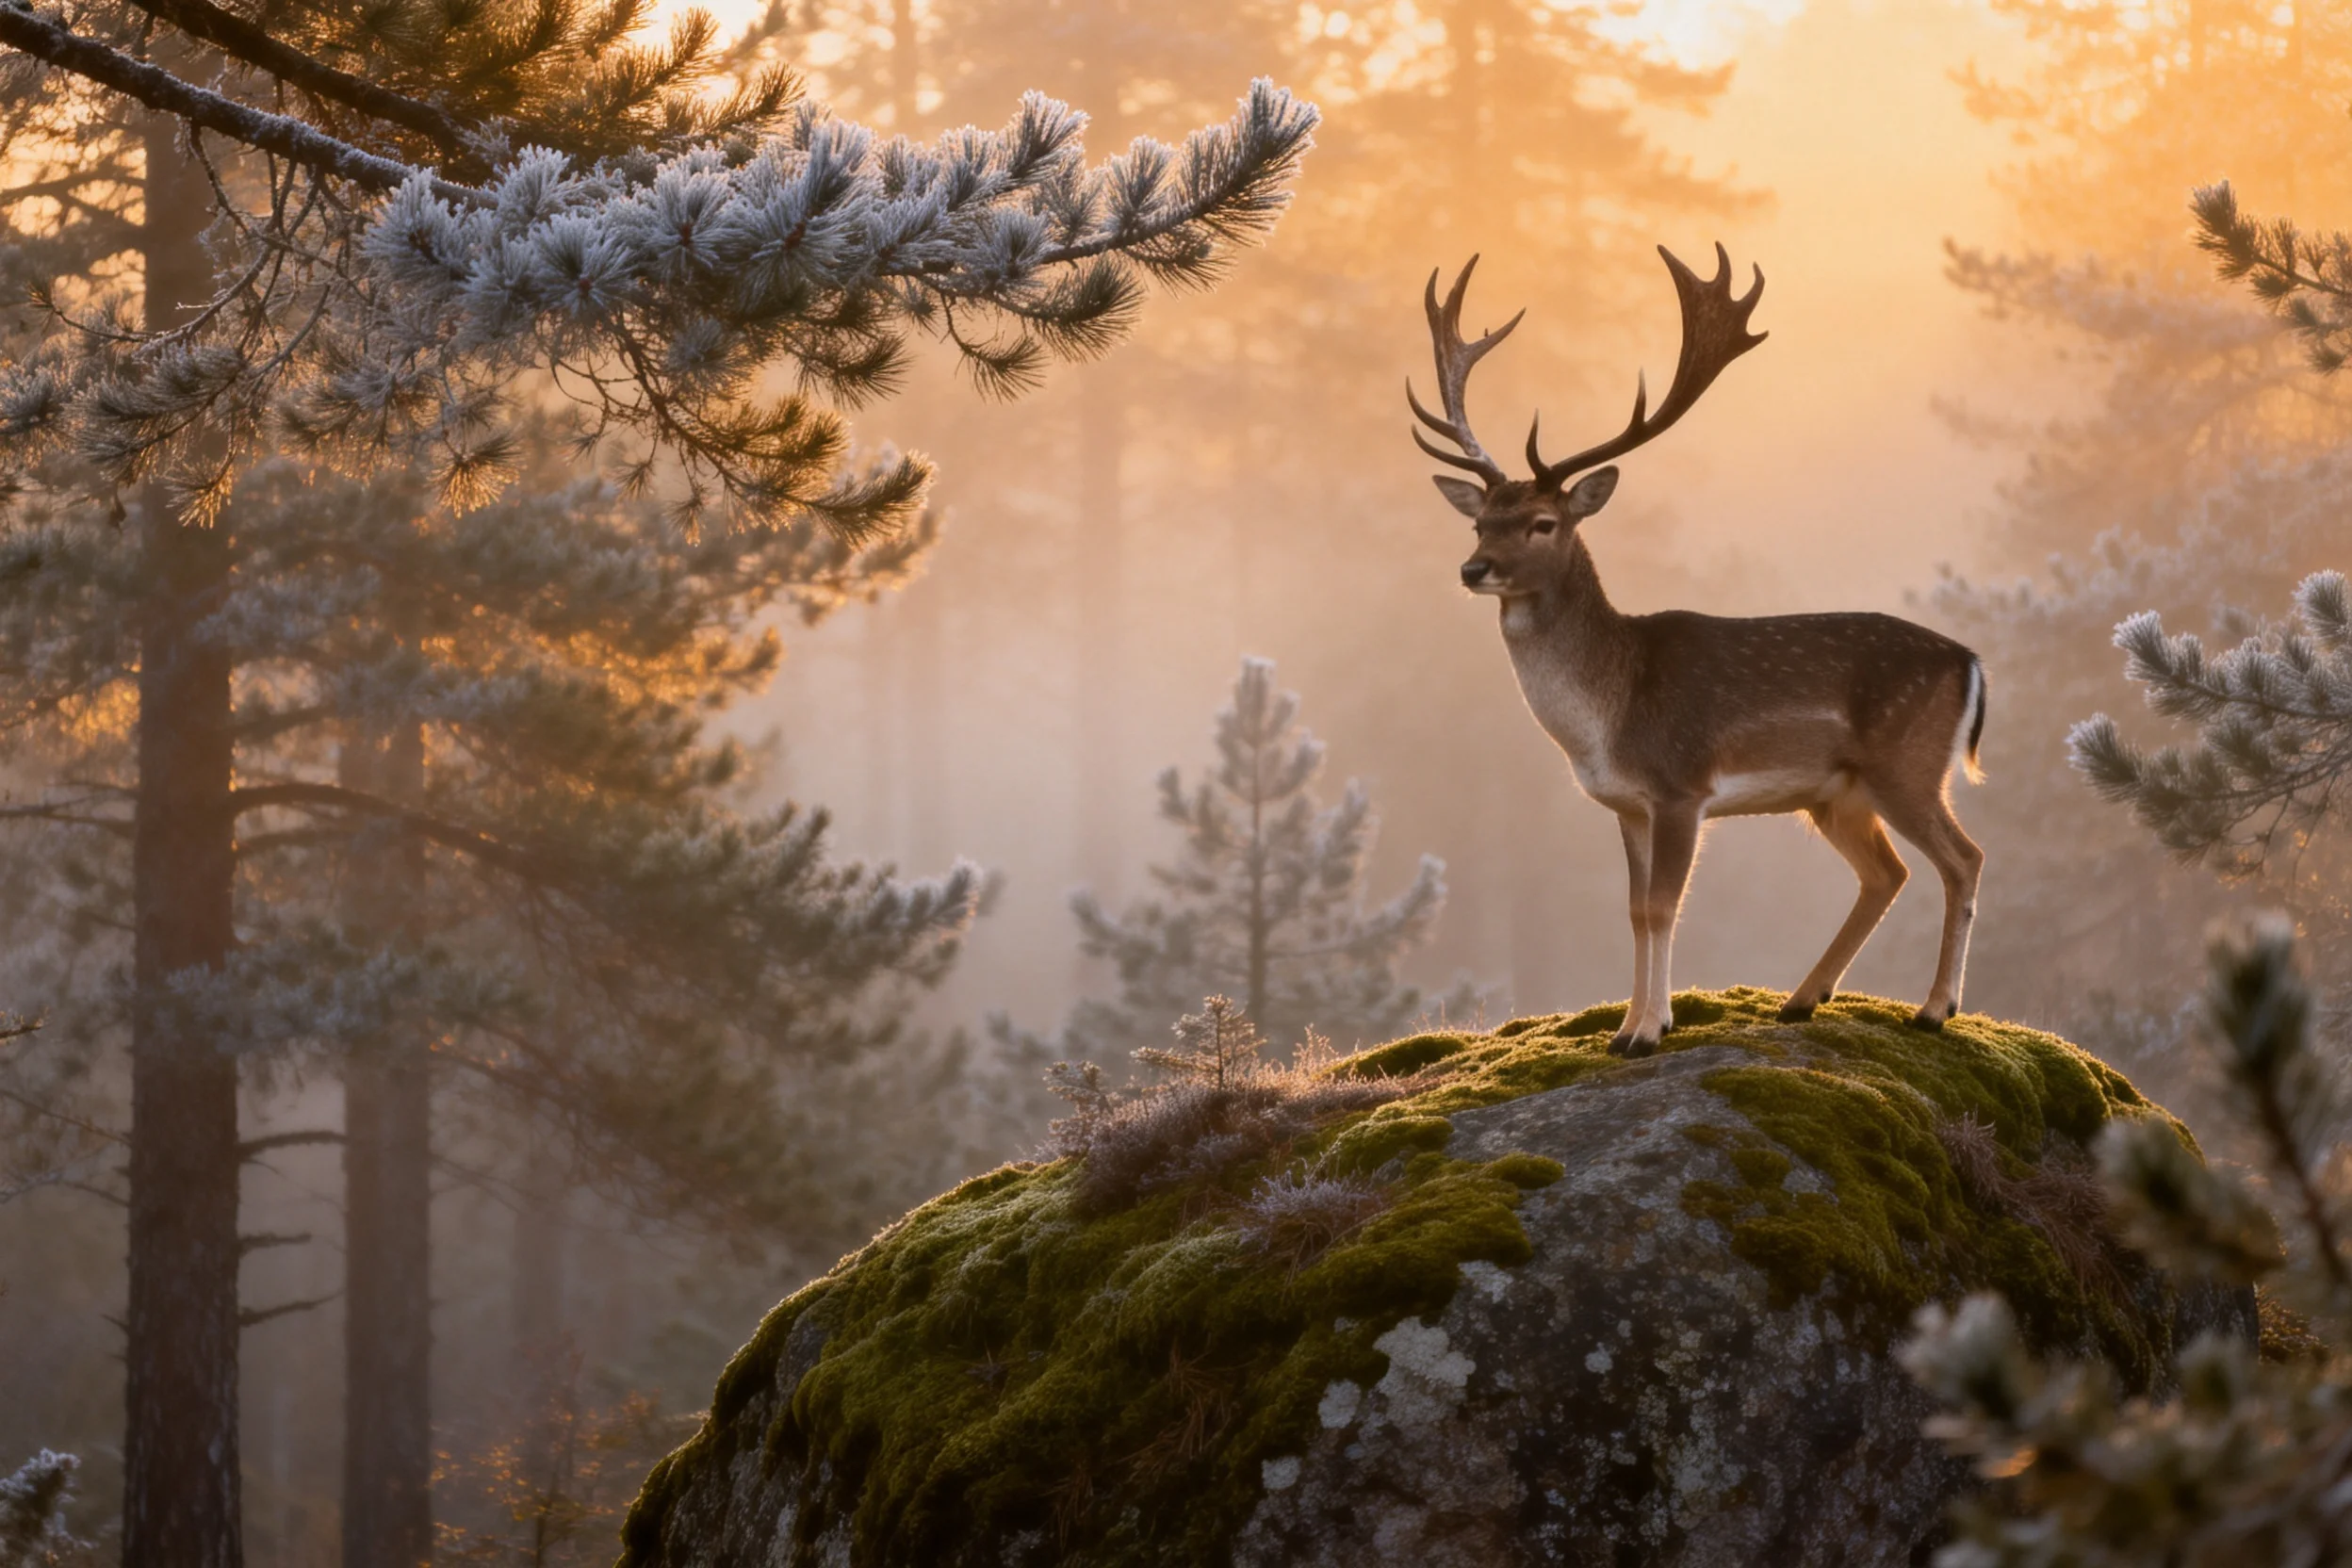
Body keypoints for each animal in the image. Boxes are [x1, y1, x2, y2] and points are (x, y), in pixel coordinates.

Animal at [1409, 247, 1986, 1057]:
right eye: (1479, 522)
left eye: (1544, 522)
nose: (1473, 570)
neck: (1606, 720)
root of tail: (1971, 662)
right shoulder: (1626, 804)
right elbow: (1633, 909)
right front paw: (1629, 1026)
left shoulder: (1681, 785)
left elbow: (1662, 906)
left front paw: (1647, 1032)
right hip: (1838, 792)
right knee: (1887, 873)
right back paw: (1802, 999)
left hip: (1908, 763)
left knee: (1963, 859)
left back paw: (1935, 1009)